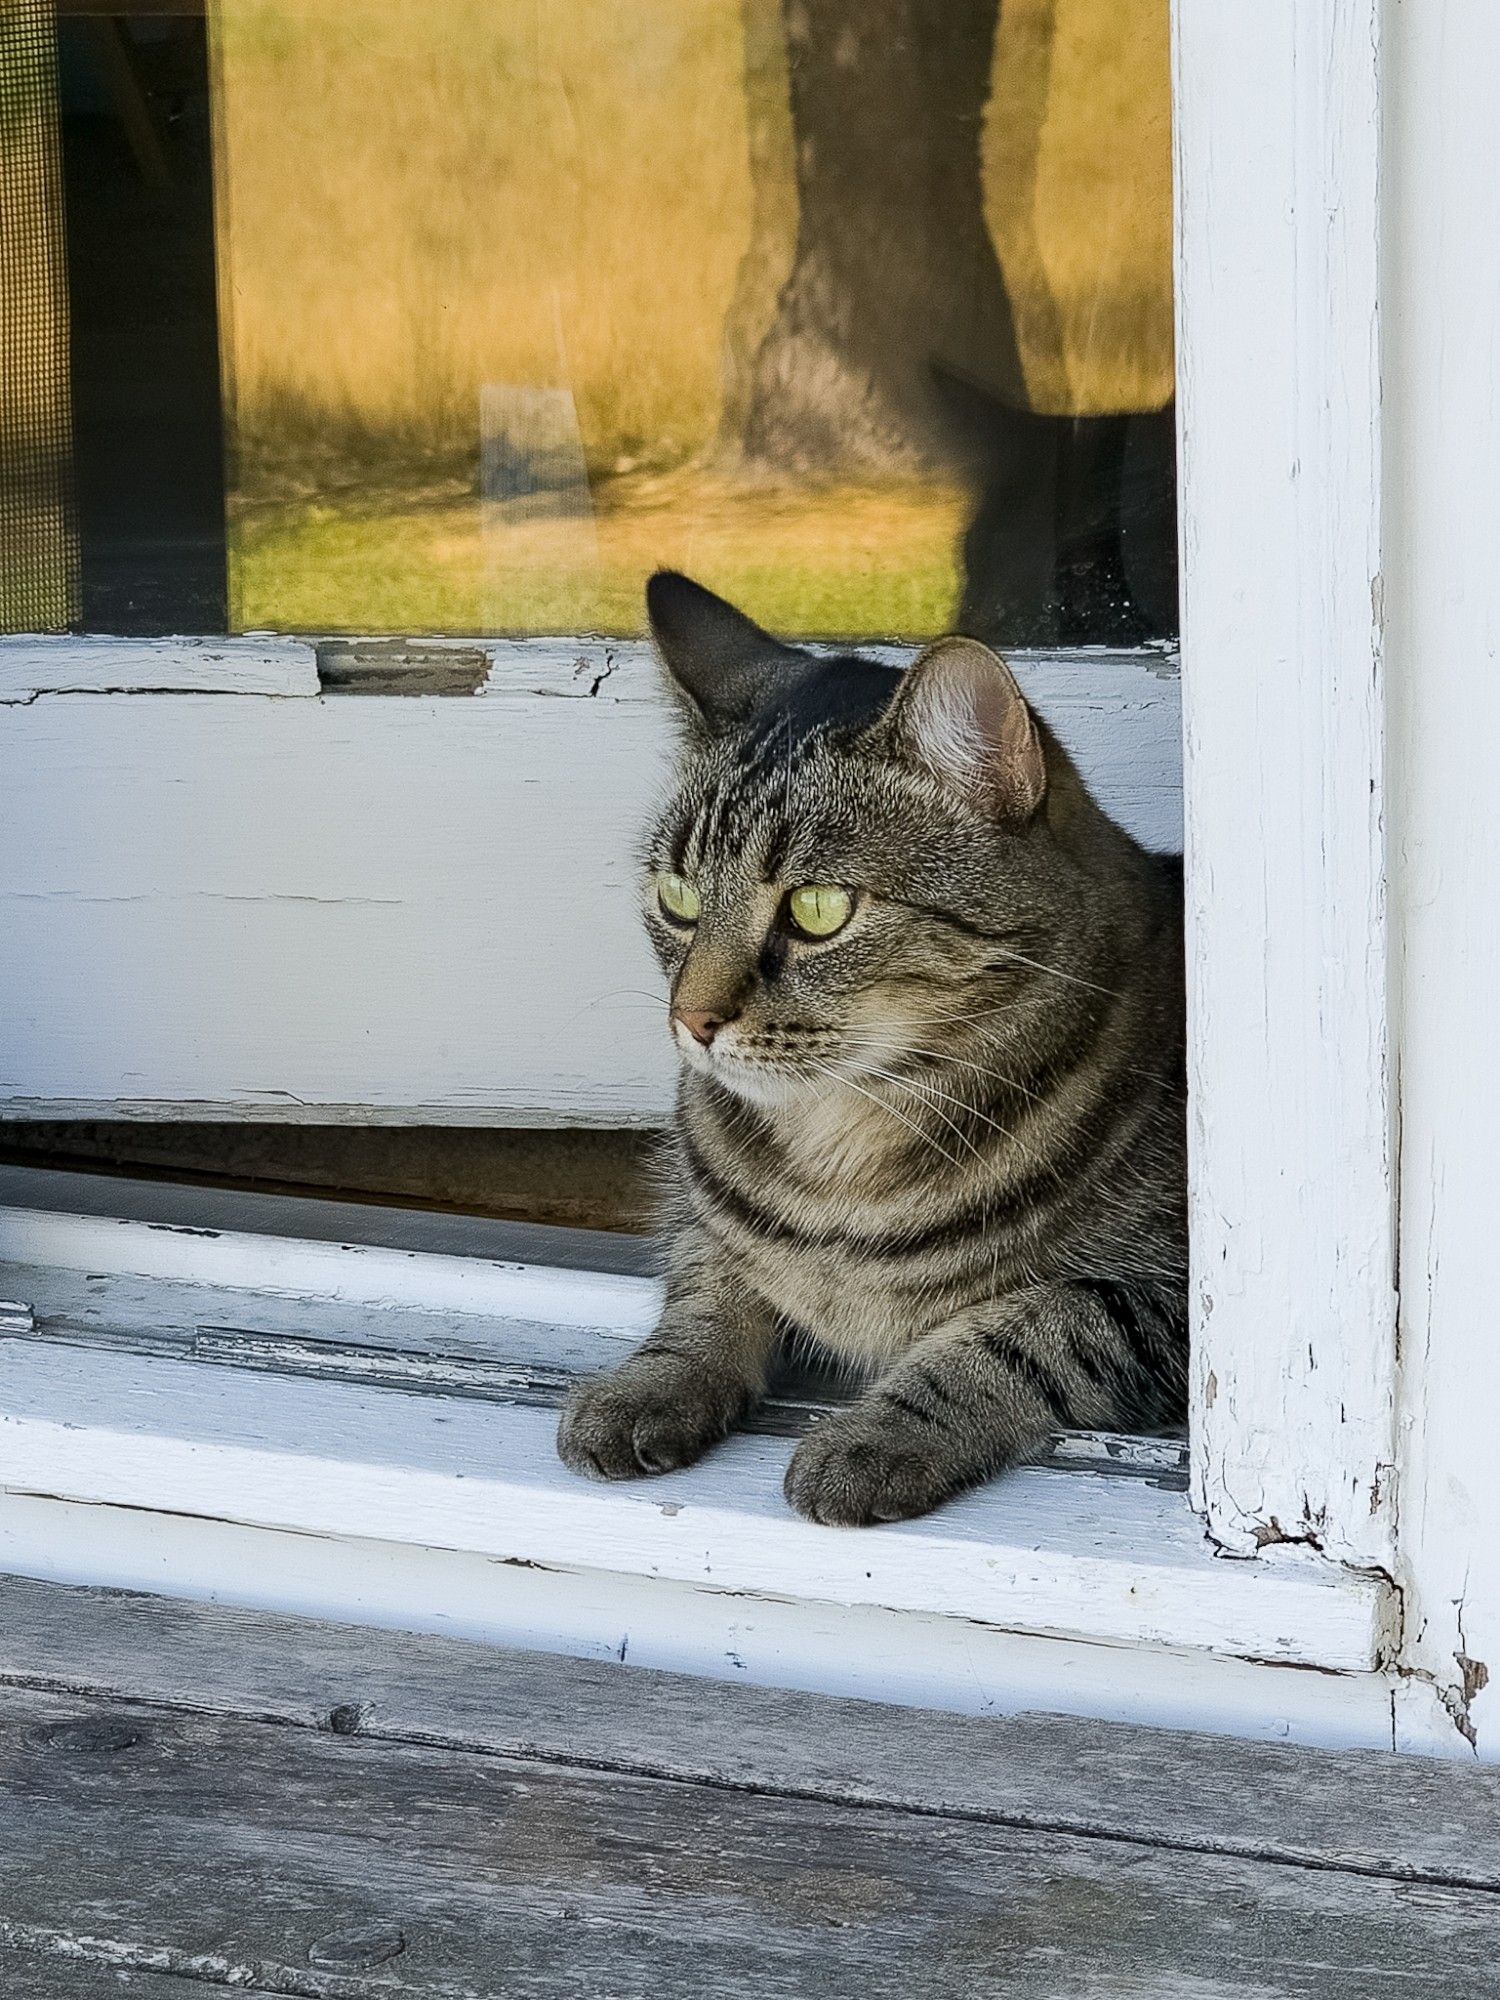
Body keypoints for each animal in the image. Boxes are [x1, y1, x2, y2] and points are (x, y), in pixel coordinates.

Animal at [560, 572, 1192, 1520]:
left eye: (817, 909)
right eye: (677, 898)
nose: (691, 1021)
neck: (841, 1172)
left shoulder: (1173, 1297)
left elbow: (1019, 1335)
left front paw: (876, 1435)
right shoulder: (710, 1228)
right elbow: (703, 1289)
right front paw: (648, 1383)